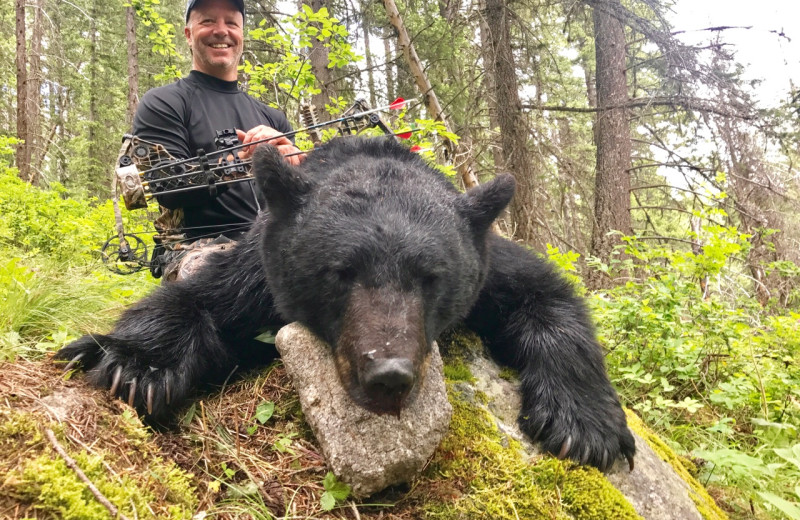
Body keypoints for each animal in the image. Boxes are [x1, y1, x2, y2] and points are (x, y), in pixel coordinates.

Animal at [53, 137, 636, 472]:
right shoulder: (262, 266)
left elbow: (547, 294)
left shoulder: (488, 262)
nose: (389, 375)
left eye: (431, 278)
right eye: (340, 272)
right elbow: (203, 299)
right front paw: (134, 364)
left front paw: (585, 426)